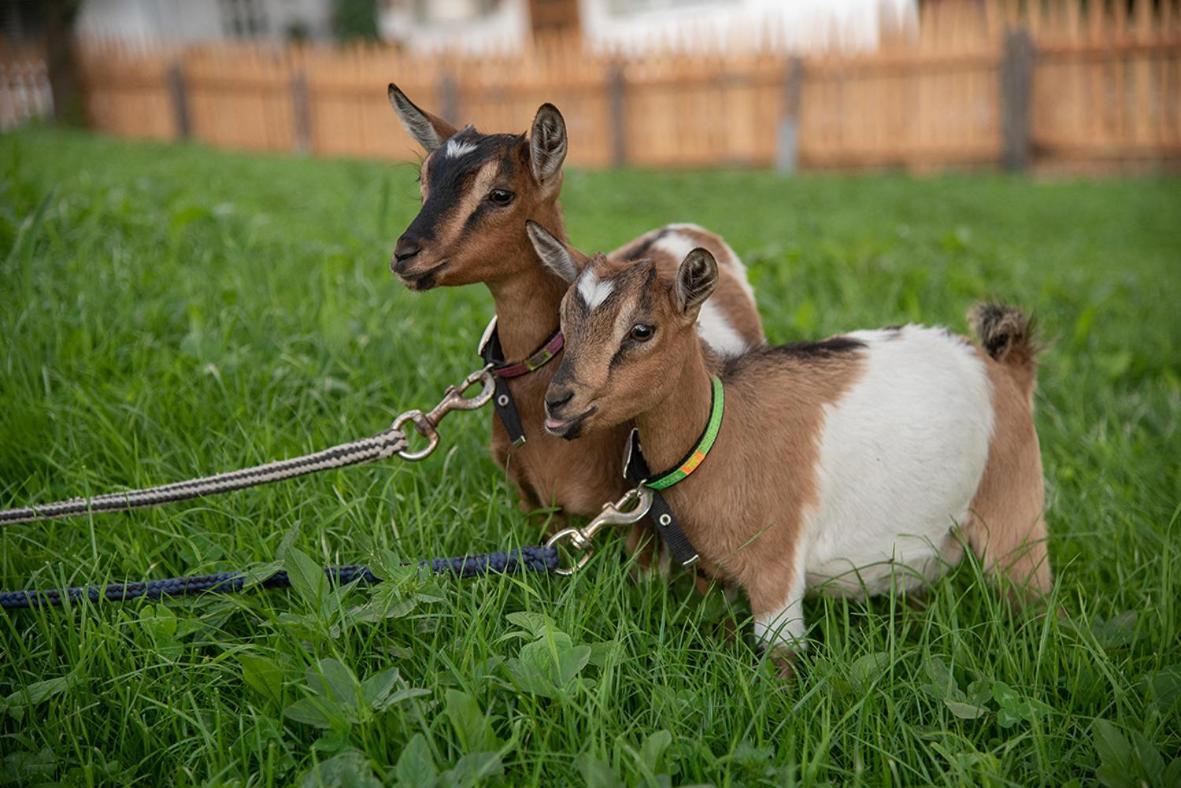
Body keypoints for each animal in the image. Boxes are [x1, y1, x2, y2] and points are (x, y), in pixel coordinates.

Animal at [531, 226, 1058, 661]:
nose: (557, 401)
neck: (718, 430)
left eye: (642, 330)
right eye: (564, 324)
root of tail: (1005, 369)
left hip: (1015, 511)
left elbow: (780, 667)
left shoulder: (776, 572)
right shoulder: (718, 578)